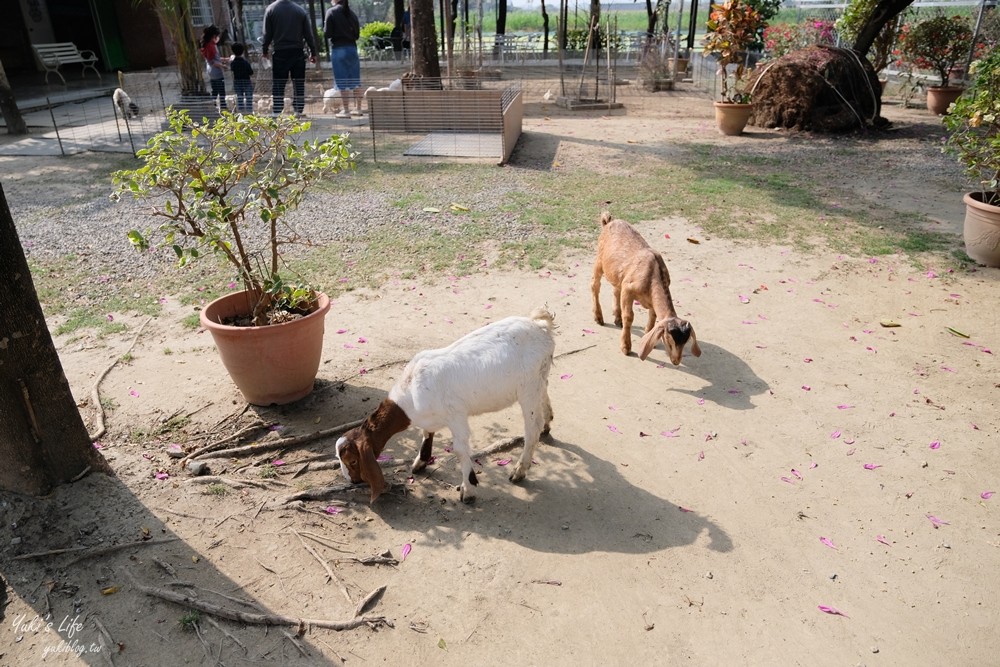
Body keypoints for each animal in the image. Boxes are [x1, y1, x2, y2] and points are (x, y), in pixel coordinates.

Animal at [334, 306, 556, 500]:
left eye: (353, 460)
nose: (353, 481)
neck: (410, 391)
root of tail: (540, 325)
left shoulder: (456, 415)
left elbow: (459, 449)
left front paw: (468, 489)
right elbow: (427, 433)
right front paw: (421, 462)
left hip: (527, 388)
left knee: (532, 427)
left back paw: (520, 470)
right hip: (539, 379)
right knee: (544, 395)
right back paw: (547, 424)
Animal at [588, 211, 700, 366]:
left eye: (685, 341)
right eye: (669, 340)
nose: (676, 361)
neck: (652, 273)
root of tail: (609, 221)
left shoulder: (647, 297)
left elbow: (653, 317)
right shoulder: (628, 289)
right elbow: (629, 316)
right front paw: (626, 347)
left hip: (617, 274)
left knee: (615, 289)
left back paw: (617, 318)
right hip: (599, 260)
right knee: (595, 285)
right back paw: (599, 317)